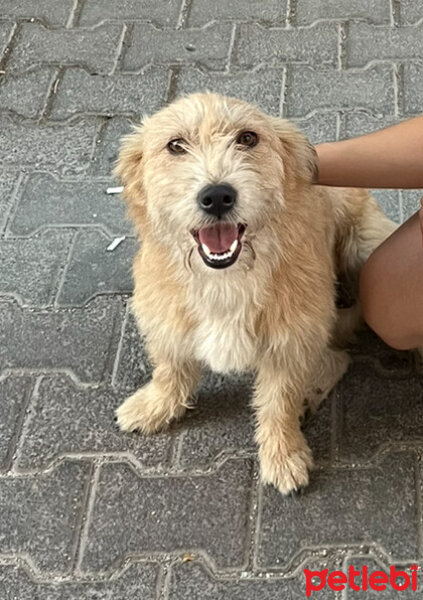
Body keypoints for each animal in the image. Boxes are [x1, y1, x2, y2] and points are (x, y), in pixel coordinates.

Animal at [113, 94, 398, 494]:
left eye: (247, 138)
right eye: (175, 145)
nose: (217, 196)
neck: (226, 279)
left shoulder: (291, 341)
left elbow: (280, 401)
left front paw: (283, 454)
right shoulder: (165, 318)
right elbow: (170, 367)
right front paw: (156, 404)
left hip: (366, 248)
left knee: (337, 356)